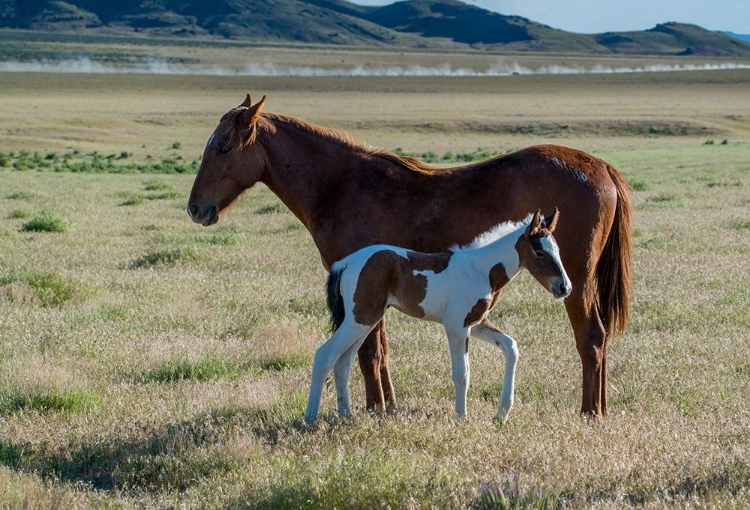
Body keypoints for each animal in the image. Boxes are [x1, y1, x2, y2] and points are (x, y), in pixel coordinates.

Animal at [304, 209, 568, 424]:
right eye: (539, 252)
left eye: (557, 250)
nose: (565, 287)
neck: (480, 269)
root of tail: (346, 263)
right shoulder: (457, 326)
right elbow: (462, 373)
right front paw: (461, 418)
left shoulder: (476, 324)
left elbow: (511, 347)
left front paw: (501, 415)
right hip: (361, 318)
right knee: (324, 355)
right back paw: (311, 417)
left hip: (365, 319)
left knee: (342, 361)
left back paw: (346, 414)